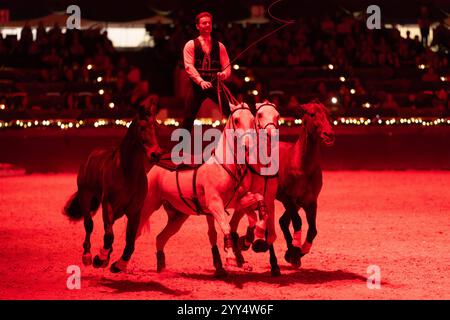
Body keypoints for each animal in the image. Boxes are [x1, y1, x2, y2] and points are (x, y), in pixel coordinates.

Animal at [62, 97, 162, 272]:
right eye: (142, 128)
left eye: (156, 127)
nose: (156, 154)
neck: (127, 173)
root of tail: (90, 157)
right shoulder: (107, 204)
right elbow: (109, 235)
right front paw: (100, 258)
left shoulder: (135, 211)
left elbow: (130, 240)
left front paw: (119, 264)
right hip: (86, 198)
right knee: (89, 225)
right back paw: (88, 256)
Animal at [276, 101, 336, 266]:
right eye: (312, 114)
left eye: (328, 114)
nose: (329, 134)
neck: (302, 165)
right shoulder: (289, 199)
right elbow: (298, 222)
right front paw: (295, 253)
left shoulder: (310, 202)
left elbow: (313, 230)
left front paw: (296, 253)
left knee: (283, 221)